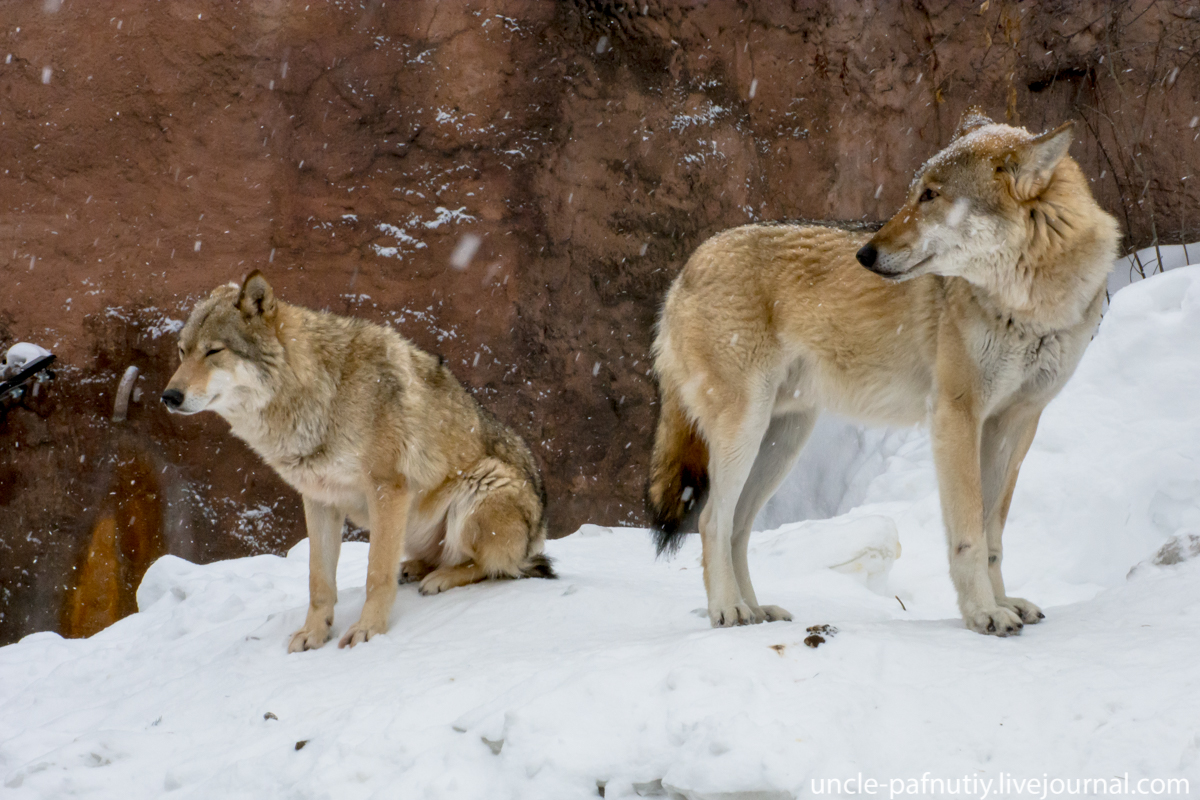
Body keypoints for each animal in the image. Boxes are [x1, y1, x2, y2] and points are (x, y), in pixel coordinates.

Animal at [160, 273, 552, 652]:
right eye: (182, 351)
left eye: (213, 351)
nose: (169, 396)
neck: (323, 393)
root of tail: (537, 534)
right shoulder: (318, 499)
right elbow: (318, 580)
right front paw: (313, 633)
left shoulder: (387, 488)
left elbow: (376, 573)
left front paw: (368, 630)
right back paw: (415, 569)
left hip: (482, 488)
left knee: (500, 567)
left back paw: (439, 578)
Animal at [652, 109, 1118, 638]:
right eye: (916, 192)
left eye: (930, 195)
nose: (865, 255)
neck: (1029, 304)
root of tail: (686, 268)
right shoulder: (956, 415)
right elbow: (969, 534)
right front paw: (982, 613)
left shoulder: (1016, 422)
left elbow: (992, 533)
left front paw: (1004, 603)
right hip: (745, 432)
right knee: (711, 520)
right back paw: (728, 611)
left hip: (781, 442)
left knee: (738, 527)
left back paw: (757, 611)